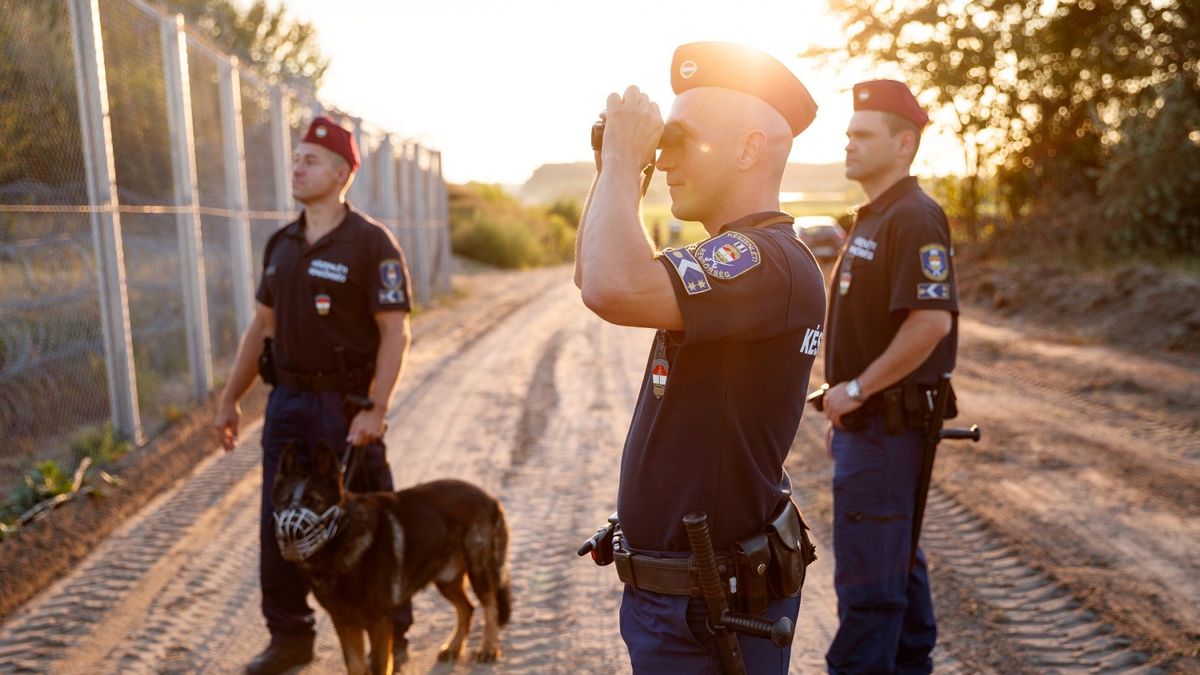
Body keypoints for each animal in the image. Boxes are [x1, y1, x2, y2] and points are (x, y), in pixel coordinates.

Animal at [272, 439, 511, 667]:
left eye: (313, 502)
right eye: (283, 503)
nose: (288, 535)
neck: (342, 540)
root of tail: (490, 498)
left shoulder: (378, 621)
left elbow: (379, 665)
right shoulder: (345, 623)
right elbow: (356, 666)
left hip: (478, 569)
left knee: (490, 605)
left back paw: (488, 648)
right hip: (446, 579)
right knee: (467, 608)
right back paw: (453, 647)